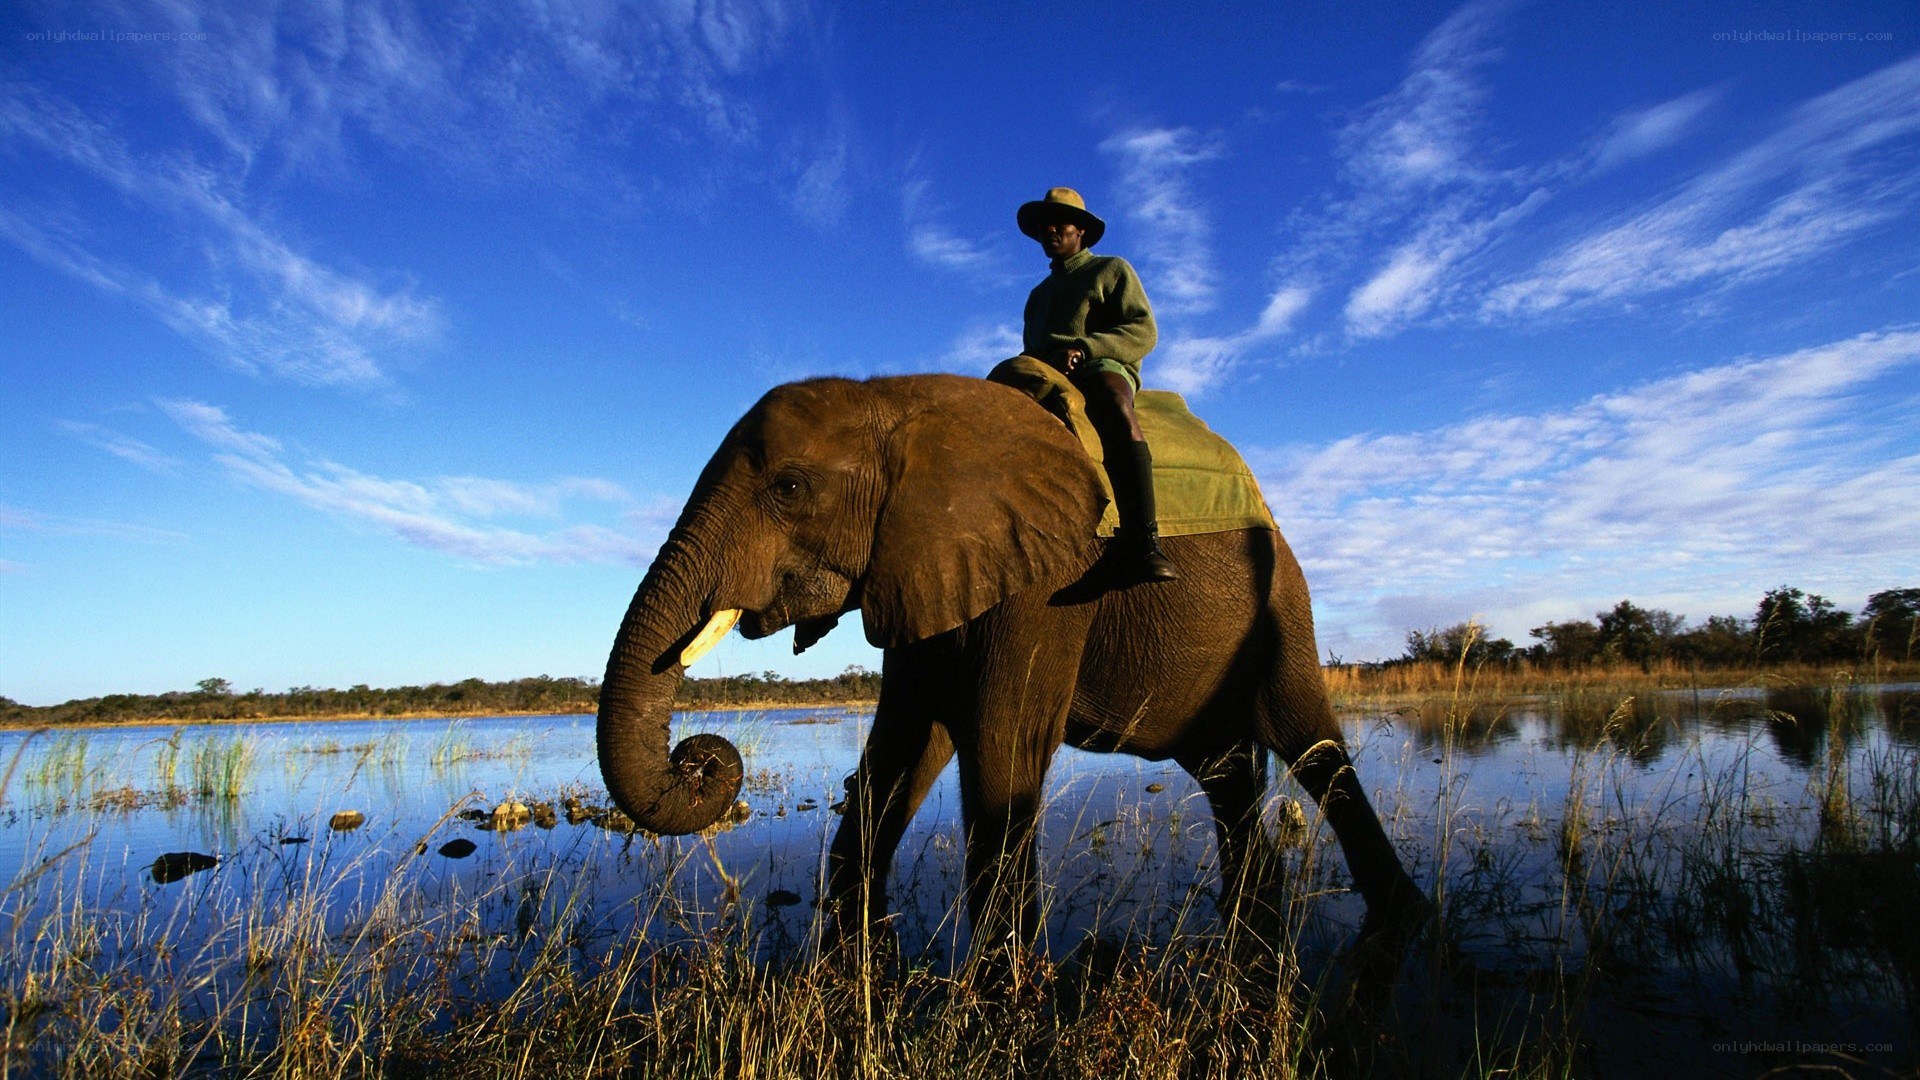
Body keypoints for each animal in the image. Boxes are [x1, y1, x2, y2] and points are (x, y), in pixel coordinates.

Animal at [595, 373, 1426, 964]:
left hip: (1284, 609)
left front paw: (1005, 979)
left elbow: (1001, 745)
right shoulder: (920, 570)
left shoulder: (1049, 584)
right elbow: (899, 752)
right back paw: (1254, 915)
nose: (698, 757)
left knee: (1313, 748)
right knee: (1225, 769)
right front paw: (855, 939)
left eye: (790, 488)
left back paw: (1399, 916)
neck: (899, 401)